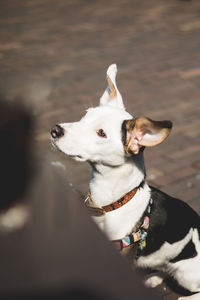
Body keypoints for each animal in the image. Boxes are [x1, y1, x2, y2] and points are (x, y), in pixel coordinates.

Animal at [50, 64, 200, 298]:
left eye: (101, 133)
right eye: (85, 116)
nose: (55, 130)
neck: (110, 204)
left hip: (188, 275)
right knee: (164, 268)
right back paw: (154, 278)